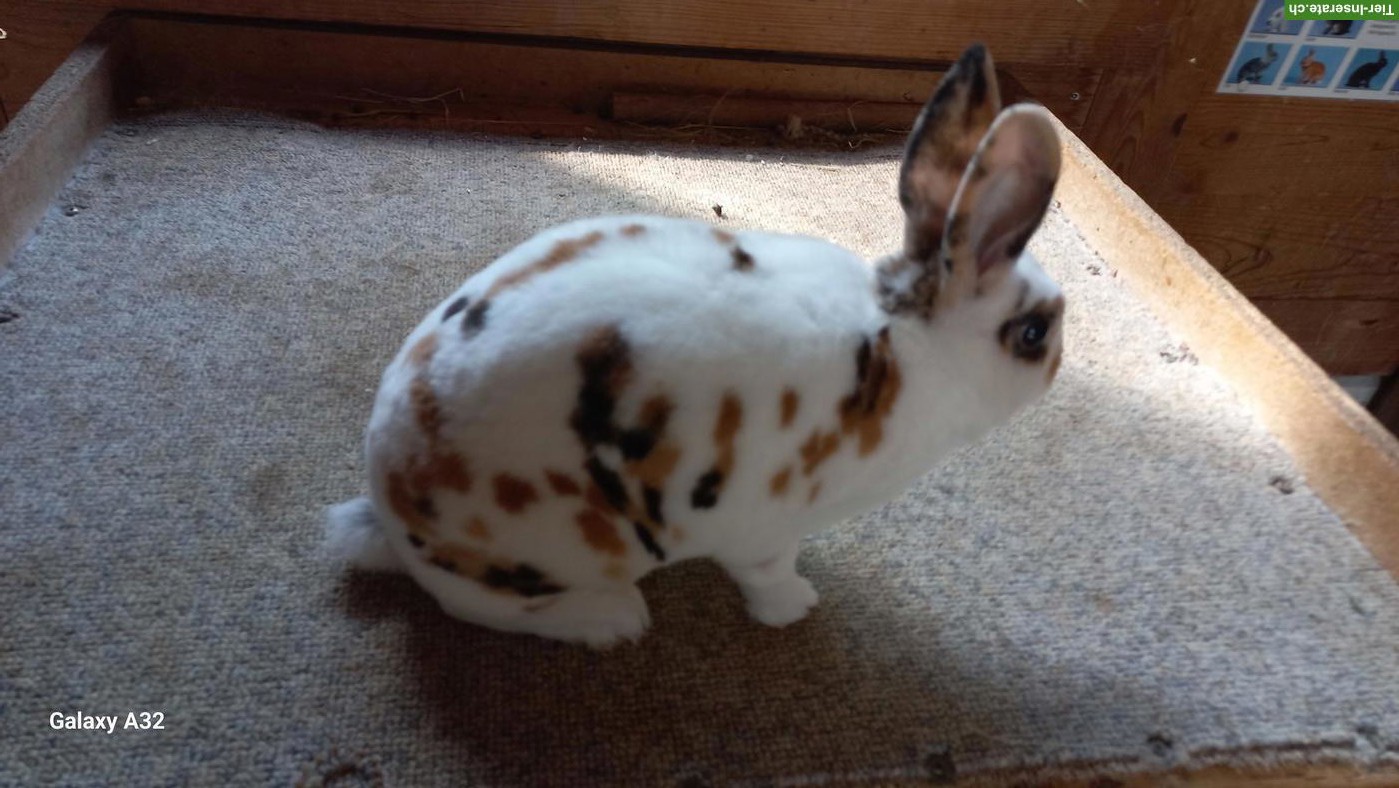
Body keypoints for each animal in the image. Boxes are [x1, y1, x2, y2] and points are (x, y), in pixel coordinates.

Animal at [324, 43, 1066, 647]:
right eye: (1033, 333)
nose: (1059, 361)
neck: (906, 342)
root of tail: (391, 517)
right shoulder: (762, 529)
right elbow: (767, 573)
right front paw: (796, 606)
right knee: (484, 609)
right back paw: (612, 620)